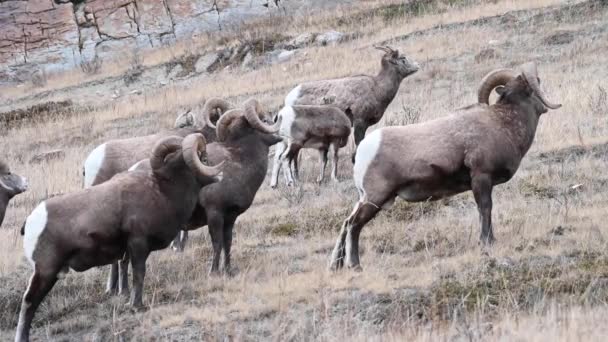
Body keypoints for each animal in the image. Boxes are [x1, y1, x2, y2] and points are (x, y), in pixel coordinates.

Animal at [16, 134, 223, 342]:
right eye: (204, 158)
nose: (220, 175)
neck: (163, 192)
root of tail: (31, 221)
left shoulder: (128, 251)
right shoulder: (138, 245)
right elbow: (139, 274)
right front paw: (137, 305)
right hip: (46, 272)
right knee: (29, 303)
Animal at [330, 62, 564, 272]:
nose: (545, 107)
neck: (504, 124)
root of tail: (363, 150)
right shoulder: (481, 178)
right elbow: (485, 208)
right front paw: (487, 243)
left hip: (366, 198)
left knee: (346, 223)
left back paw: (336, 265)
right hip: (375, 199)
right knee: (353, 225)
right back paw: (355, 266)